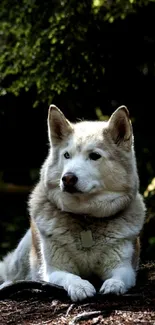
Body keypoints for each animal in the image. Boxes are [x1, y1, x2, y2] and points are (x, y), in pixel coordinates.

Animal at [0, 105, 145, 300]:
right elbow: (71, 277)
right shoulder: (54, 270)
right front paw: (80, 286)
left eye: (94, 156)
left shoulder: (124, 266)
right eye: (67, 155)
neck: (85, 218)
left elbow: (119, 277)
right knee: (12, 276)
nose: (67, 178)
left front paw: (113, 285)